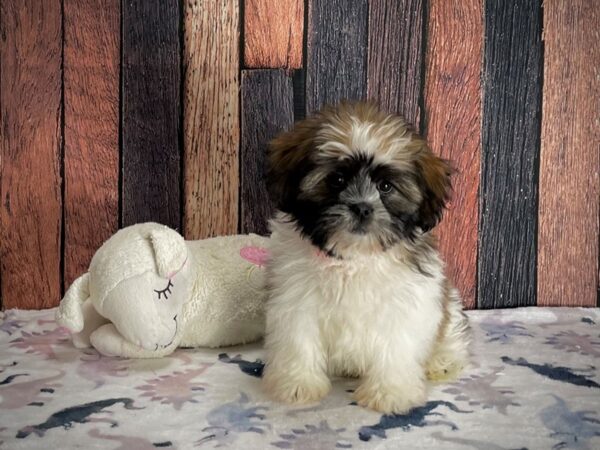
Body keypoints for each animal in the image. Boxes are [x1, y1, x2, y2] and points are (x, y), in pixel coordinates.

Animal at [262, 100, 468, 414]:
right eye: (337, 180)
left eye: (385, 187)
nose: (361, 208)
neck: (354, 258)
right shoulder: (295, 299)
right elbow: (299, 338)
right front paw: (297, 384)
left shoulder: (407, 301)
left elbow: (396, 345)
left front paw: (390, 392)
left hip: (450, 308)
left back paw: (442, 361)